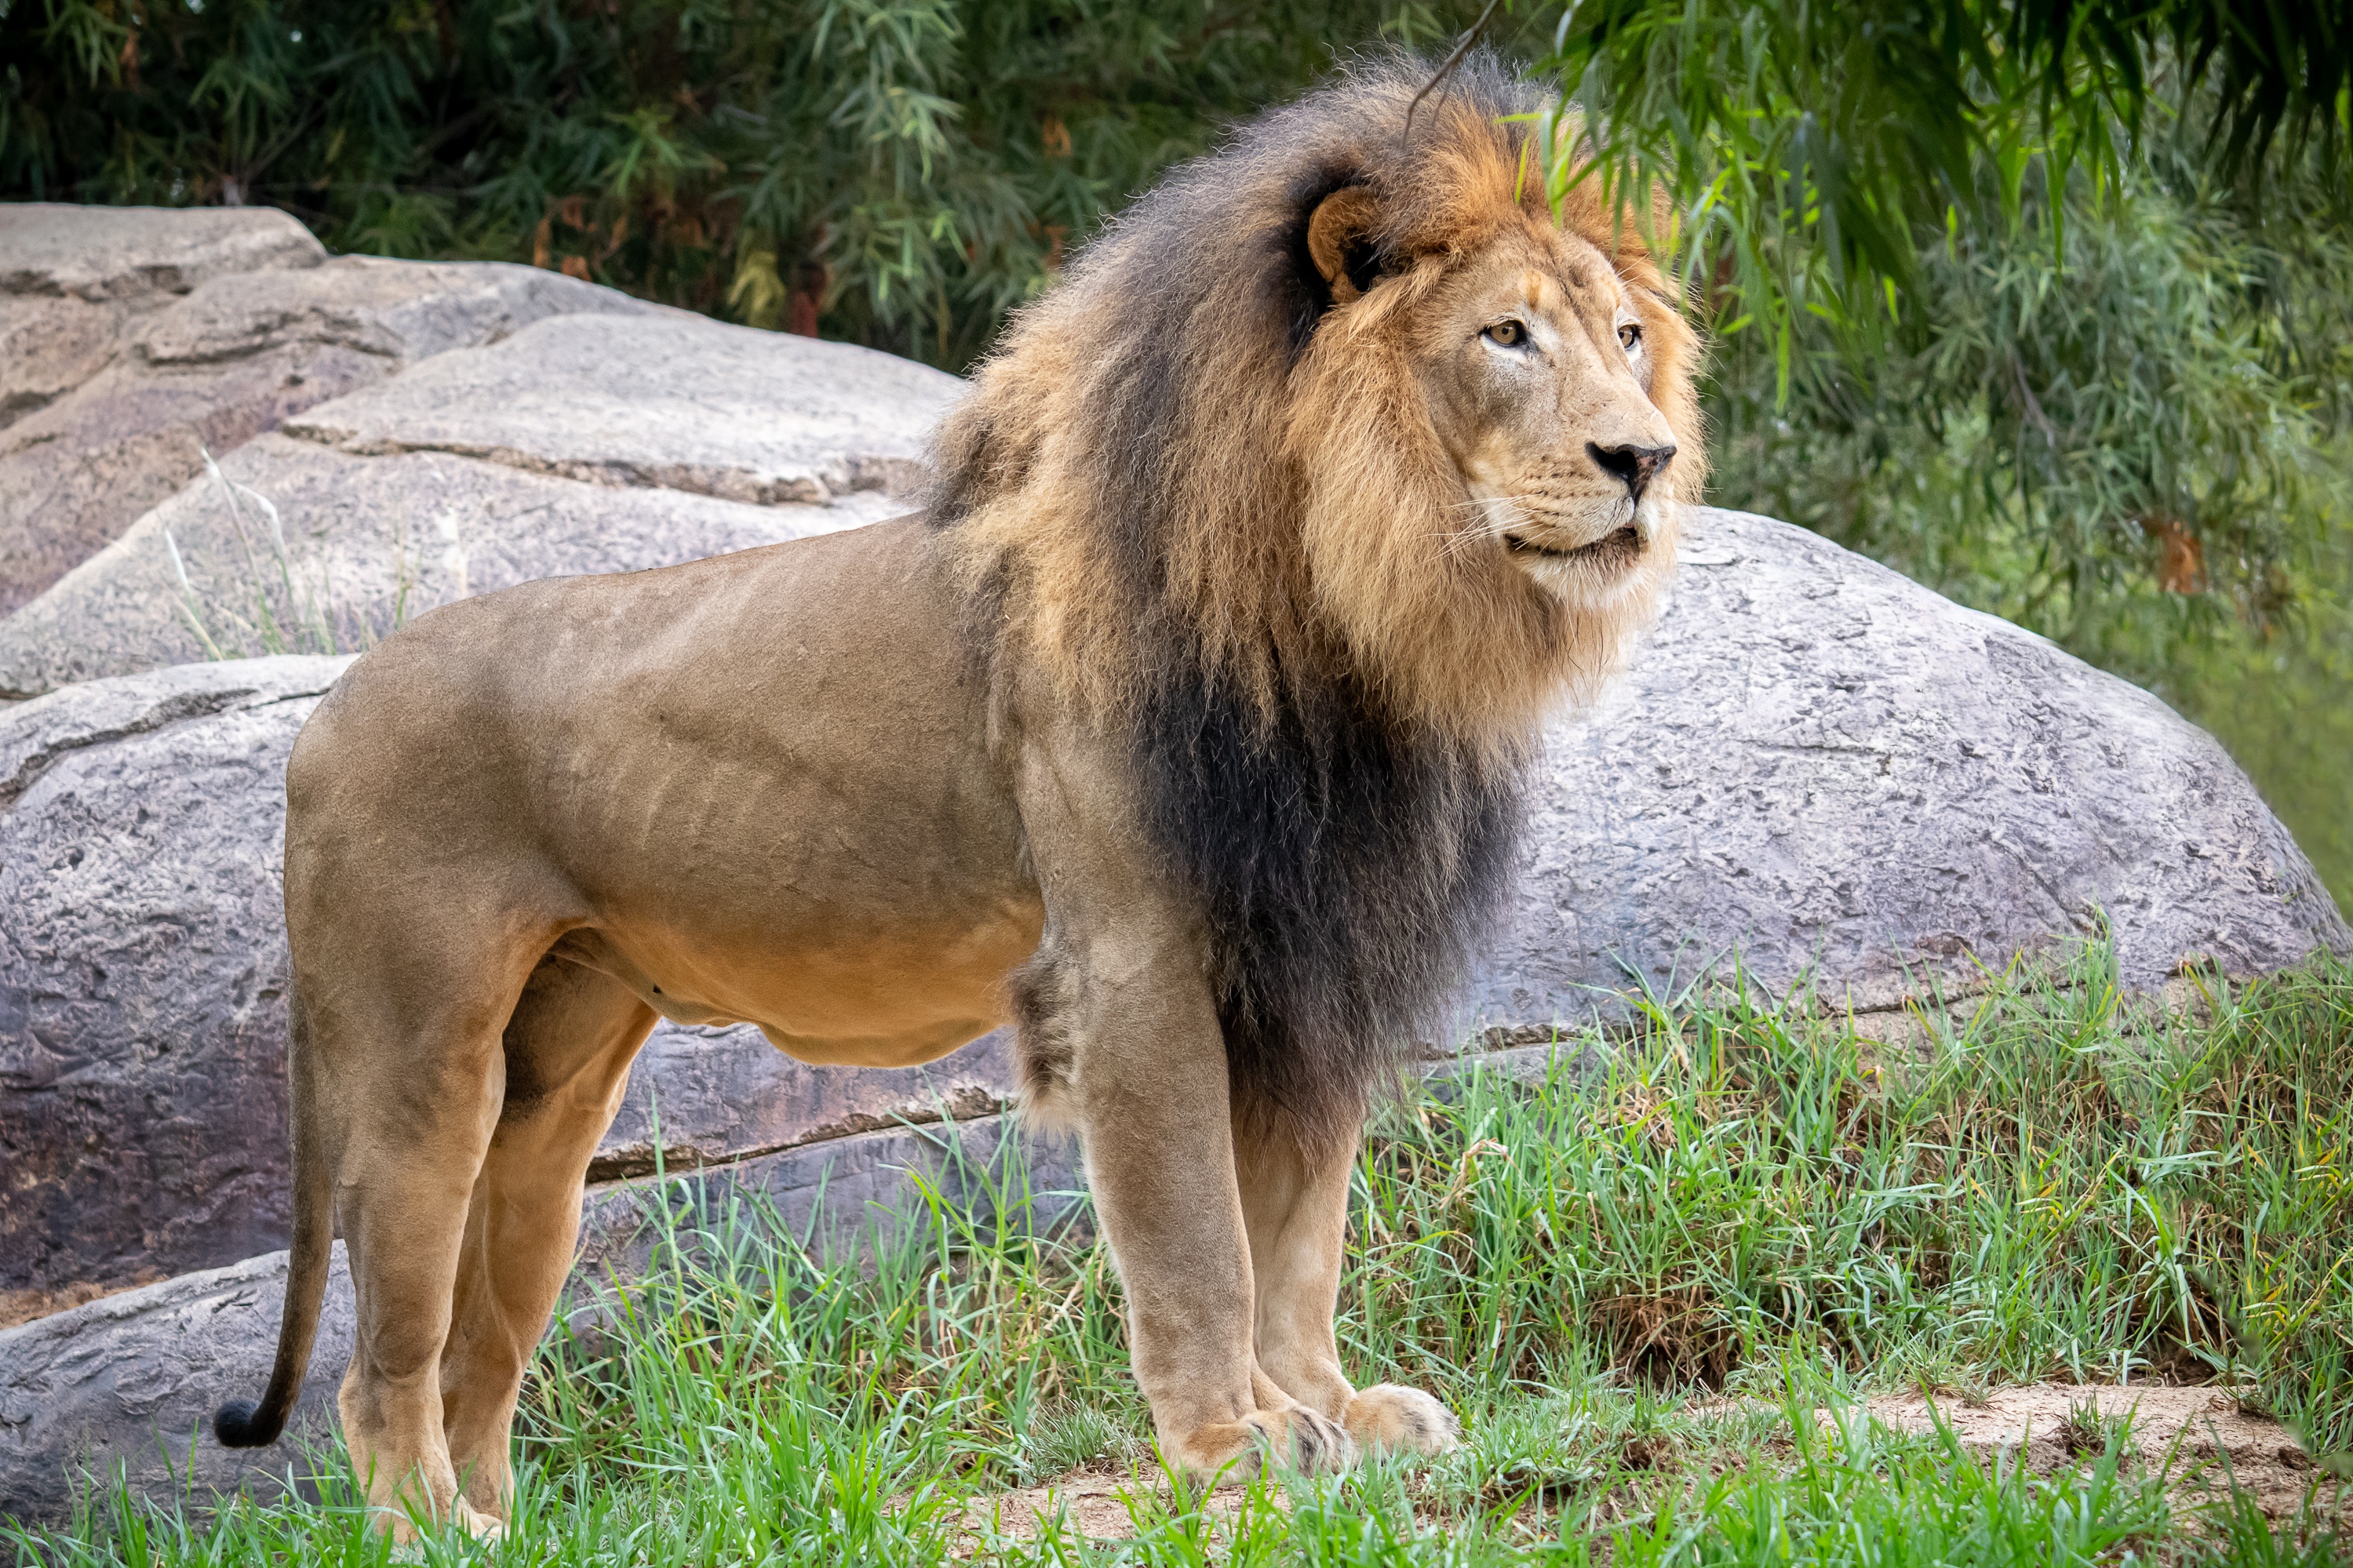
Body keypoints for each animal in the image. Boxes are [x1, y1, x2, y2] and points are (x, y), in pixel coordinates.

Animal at [206, 55, 1694, 1542]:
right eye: (1505, 335)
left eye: (1625, 335)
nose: (1645, 458)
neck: (1349, 621)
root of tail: (322, 711)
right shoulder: (1136, 964)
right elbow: (1198, 1235)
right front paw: (1232, 1443)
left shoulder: (1306, 959)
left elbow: (1298, 1233)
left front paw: (1333, 1412)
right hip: (419, 1062)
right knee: (380, 1363)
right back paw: (430, 1527)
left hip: (554, 1089)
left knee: (479, 1343)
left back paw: (519, 1529)